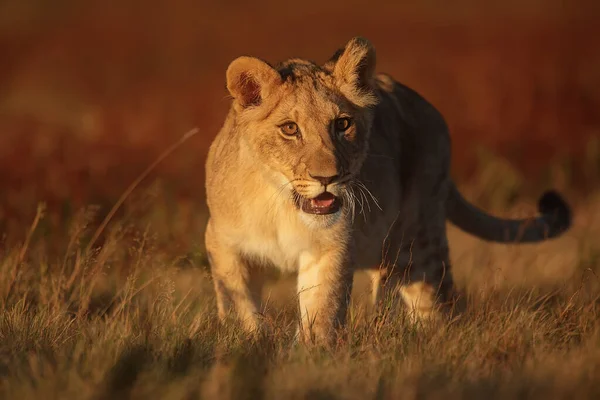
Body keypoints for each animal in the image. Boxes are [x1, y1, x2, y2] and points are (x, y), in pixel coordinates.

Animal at [205, 36, 572, 346]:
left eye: (342, 124)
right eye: (290, 129)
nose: (328, 177)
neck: (283, 206)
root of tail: (432, 111)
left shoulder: (330, 247)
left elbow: (321, 310)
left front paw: (310, 355)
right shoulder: (220, 240)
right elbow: (237, 300)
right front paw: (252, 343)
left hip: (418, 243)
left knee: (439, 303)